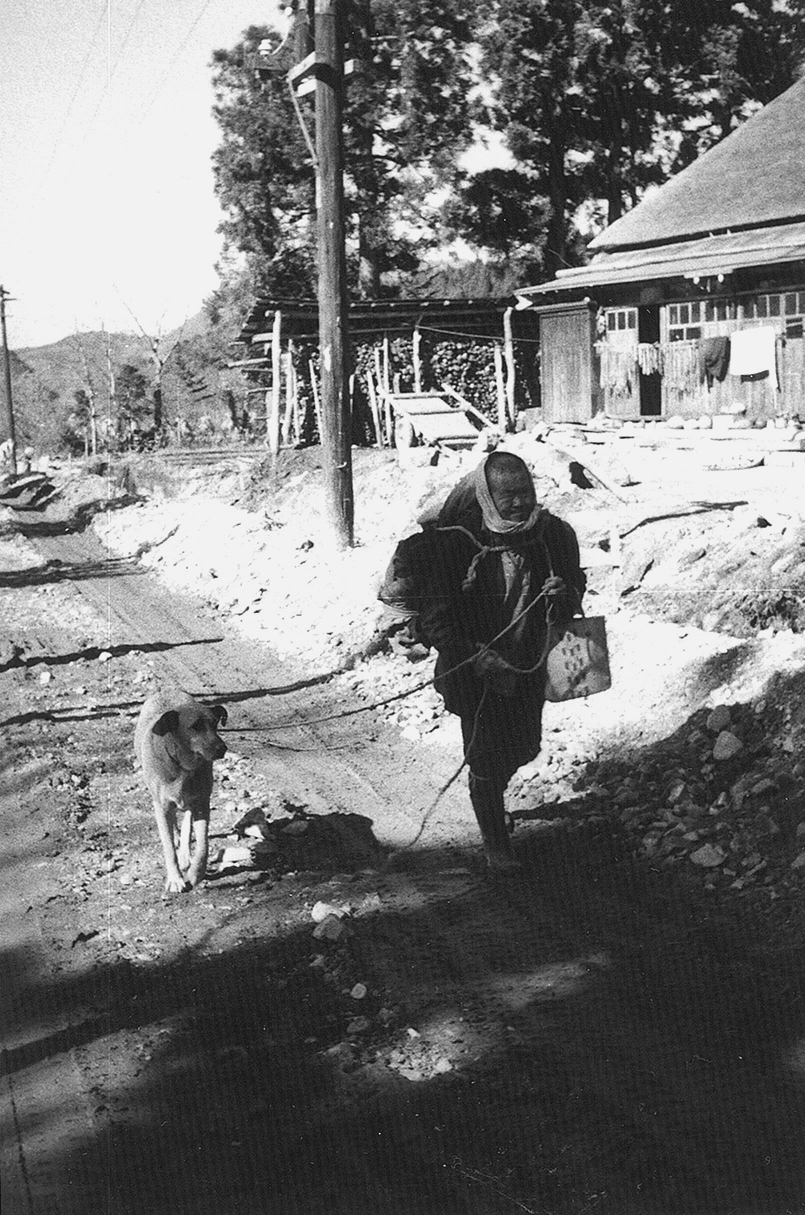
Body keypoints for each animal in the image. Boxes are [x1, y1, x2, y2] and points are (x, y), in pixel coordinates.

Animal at [132, 690, 227, 899]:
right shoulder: (162, 808)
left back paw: (185, 854)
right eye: (195, 726)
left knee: (187, 822)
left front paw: (194, 874)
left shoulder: (202, 803)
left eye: (215, 724)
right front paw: (175, 879)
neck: (183, 767)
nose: (222, 748)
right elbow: (168, 847)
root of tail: (166, 690)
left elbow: (203, 845)